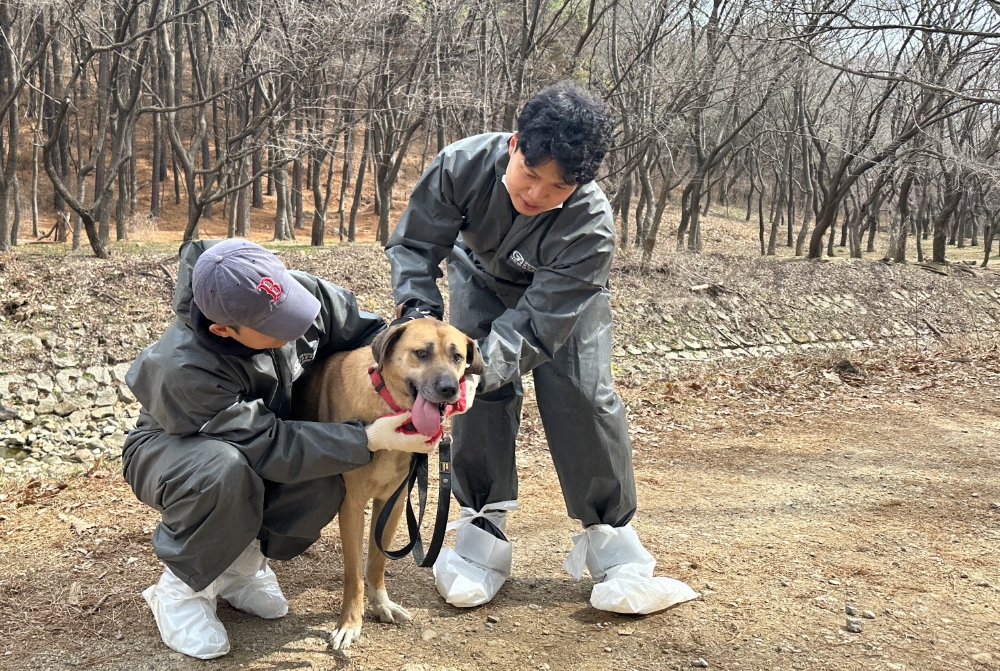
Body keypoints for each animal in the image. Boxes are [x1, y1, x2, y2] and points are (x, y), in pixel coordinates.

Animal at [292, 320, 484, 652]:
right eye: (421, 353)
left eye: (457, 357)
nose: (449, 390)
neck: (388, 407)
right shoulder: (352, 505)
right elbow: (354, 572)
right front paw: (349, 624)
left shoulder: (392, 502)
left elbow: (377, 564)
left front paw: (381, 605)